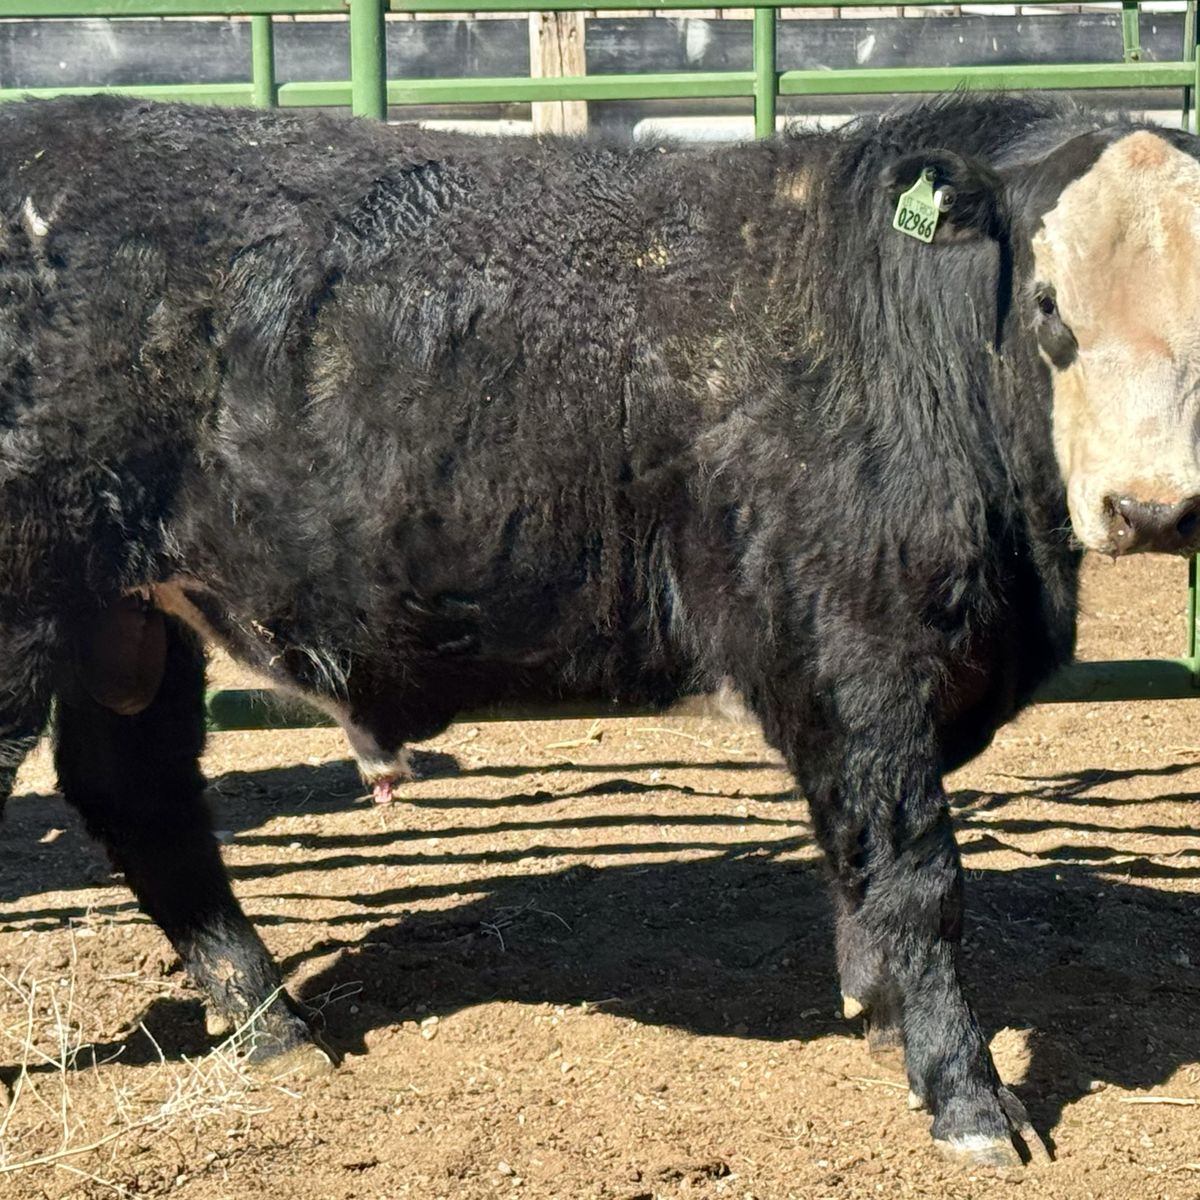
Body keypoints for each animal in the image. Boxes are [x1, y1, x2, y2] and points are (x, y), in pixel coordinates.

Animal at [1, 92, 1197, 1168]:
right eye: (1047, 302)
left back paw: (270, 1024)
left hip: (124, 617)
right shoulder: (862, 657)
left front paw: (880, 1018)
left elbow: (862, 873)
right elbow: (918, 881)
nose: (1152, 510)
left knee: (140, 794)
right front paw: (968, 1101)